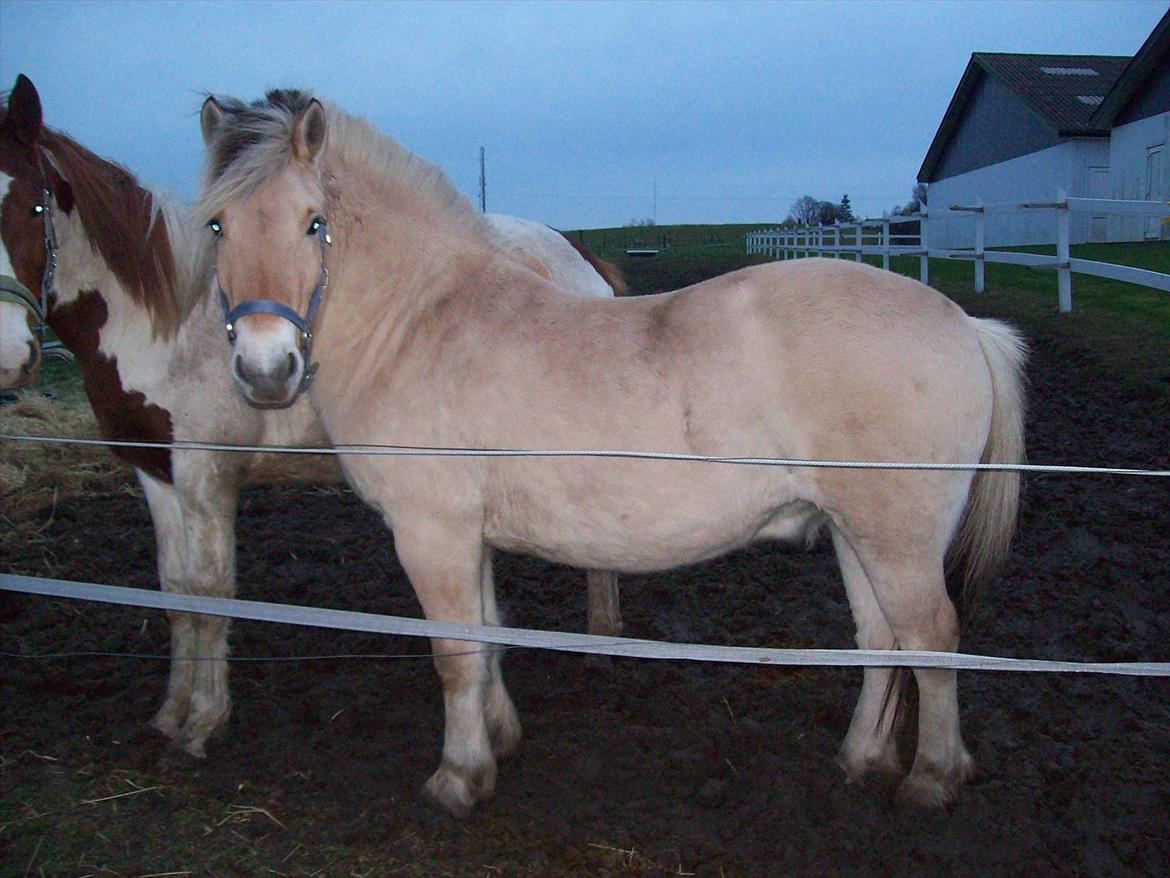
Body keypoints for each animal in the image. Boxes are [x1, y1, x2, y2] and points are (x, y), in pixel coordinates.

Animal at [0, 75, 631, 763]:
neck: (164, 320)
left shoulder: (206, 476)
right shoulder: (156, 473)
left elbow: (211, 595)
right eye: (216, 227)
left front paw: (203, 722)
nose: (9, 352)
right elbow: (173, 594)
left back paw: (602, 641)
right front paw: (171, 713)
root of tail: (576, 254)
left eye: (31, 207)